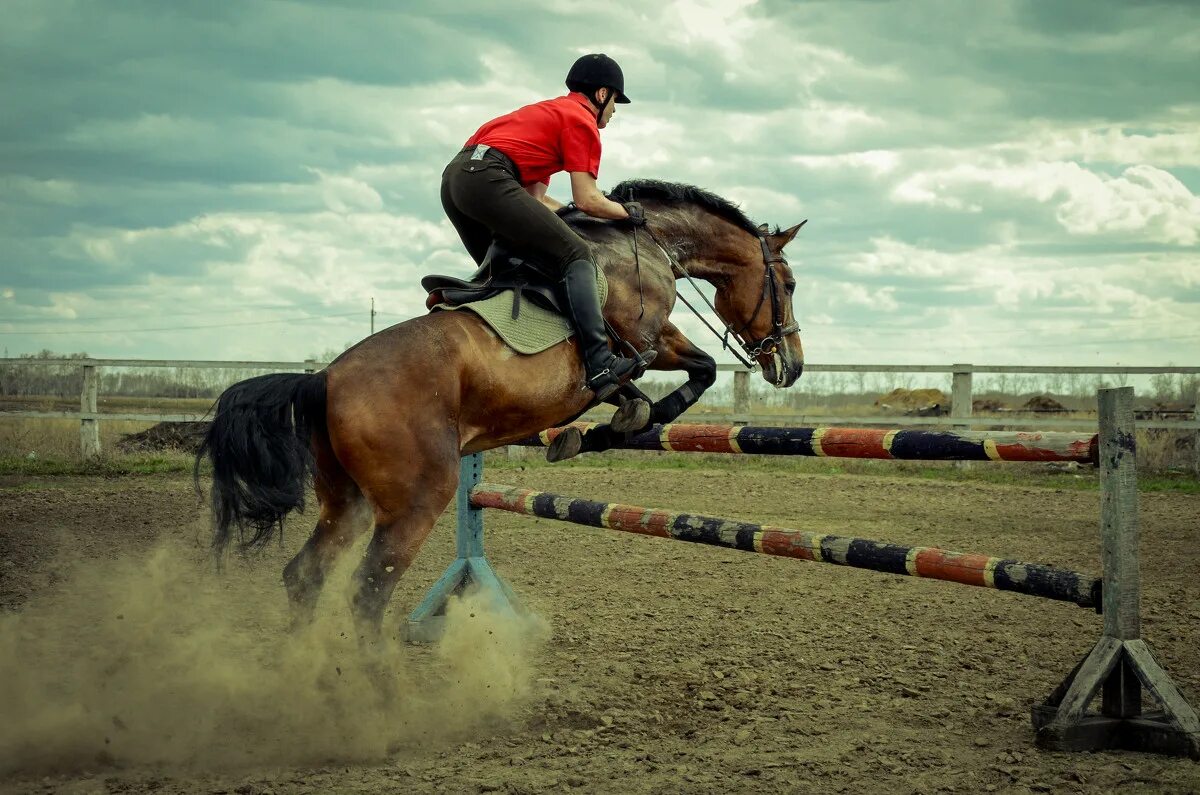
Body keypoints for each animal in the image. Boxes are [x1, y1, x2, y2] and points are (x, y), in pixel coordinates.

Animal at [194, 177, 806, 634]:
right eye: (791, 284)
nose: (793, 366)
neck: (644, 242)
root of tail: (324, 379)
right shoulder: (641, 337)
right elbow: (645, 377)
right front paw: (609, 425)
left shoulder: (658, 339)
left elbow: (696, 370)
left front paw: (590, 433)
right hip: (414, 501)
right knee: (366, 595)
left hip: (348, 501)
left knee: (306, 575)